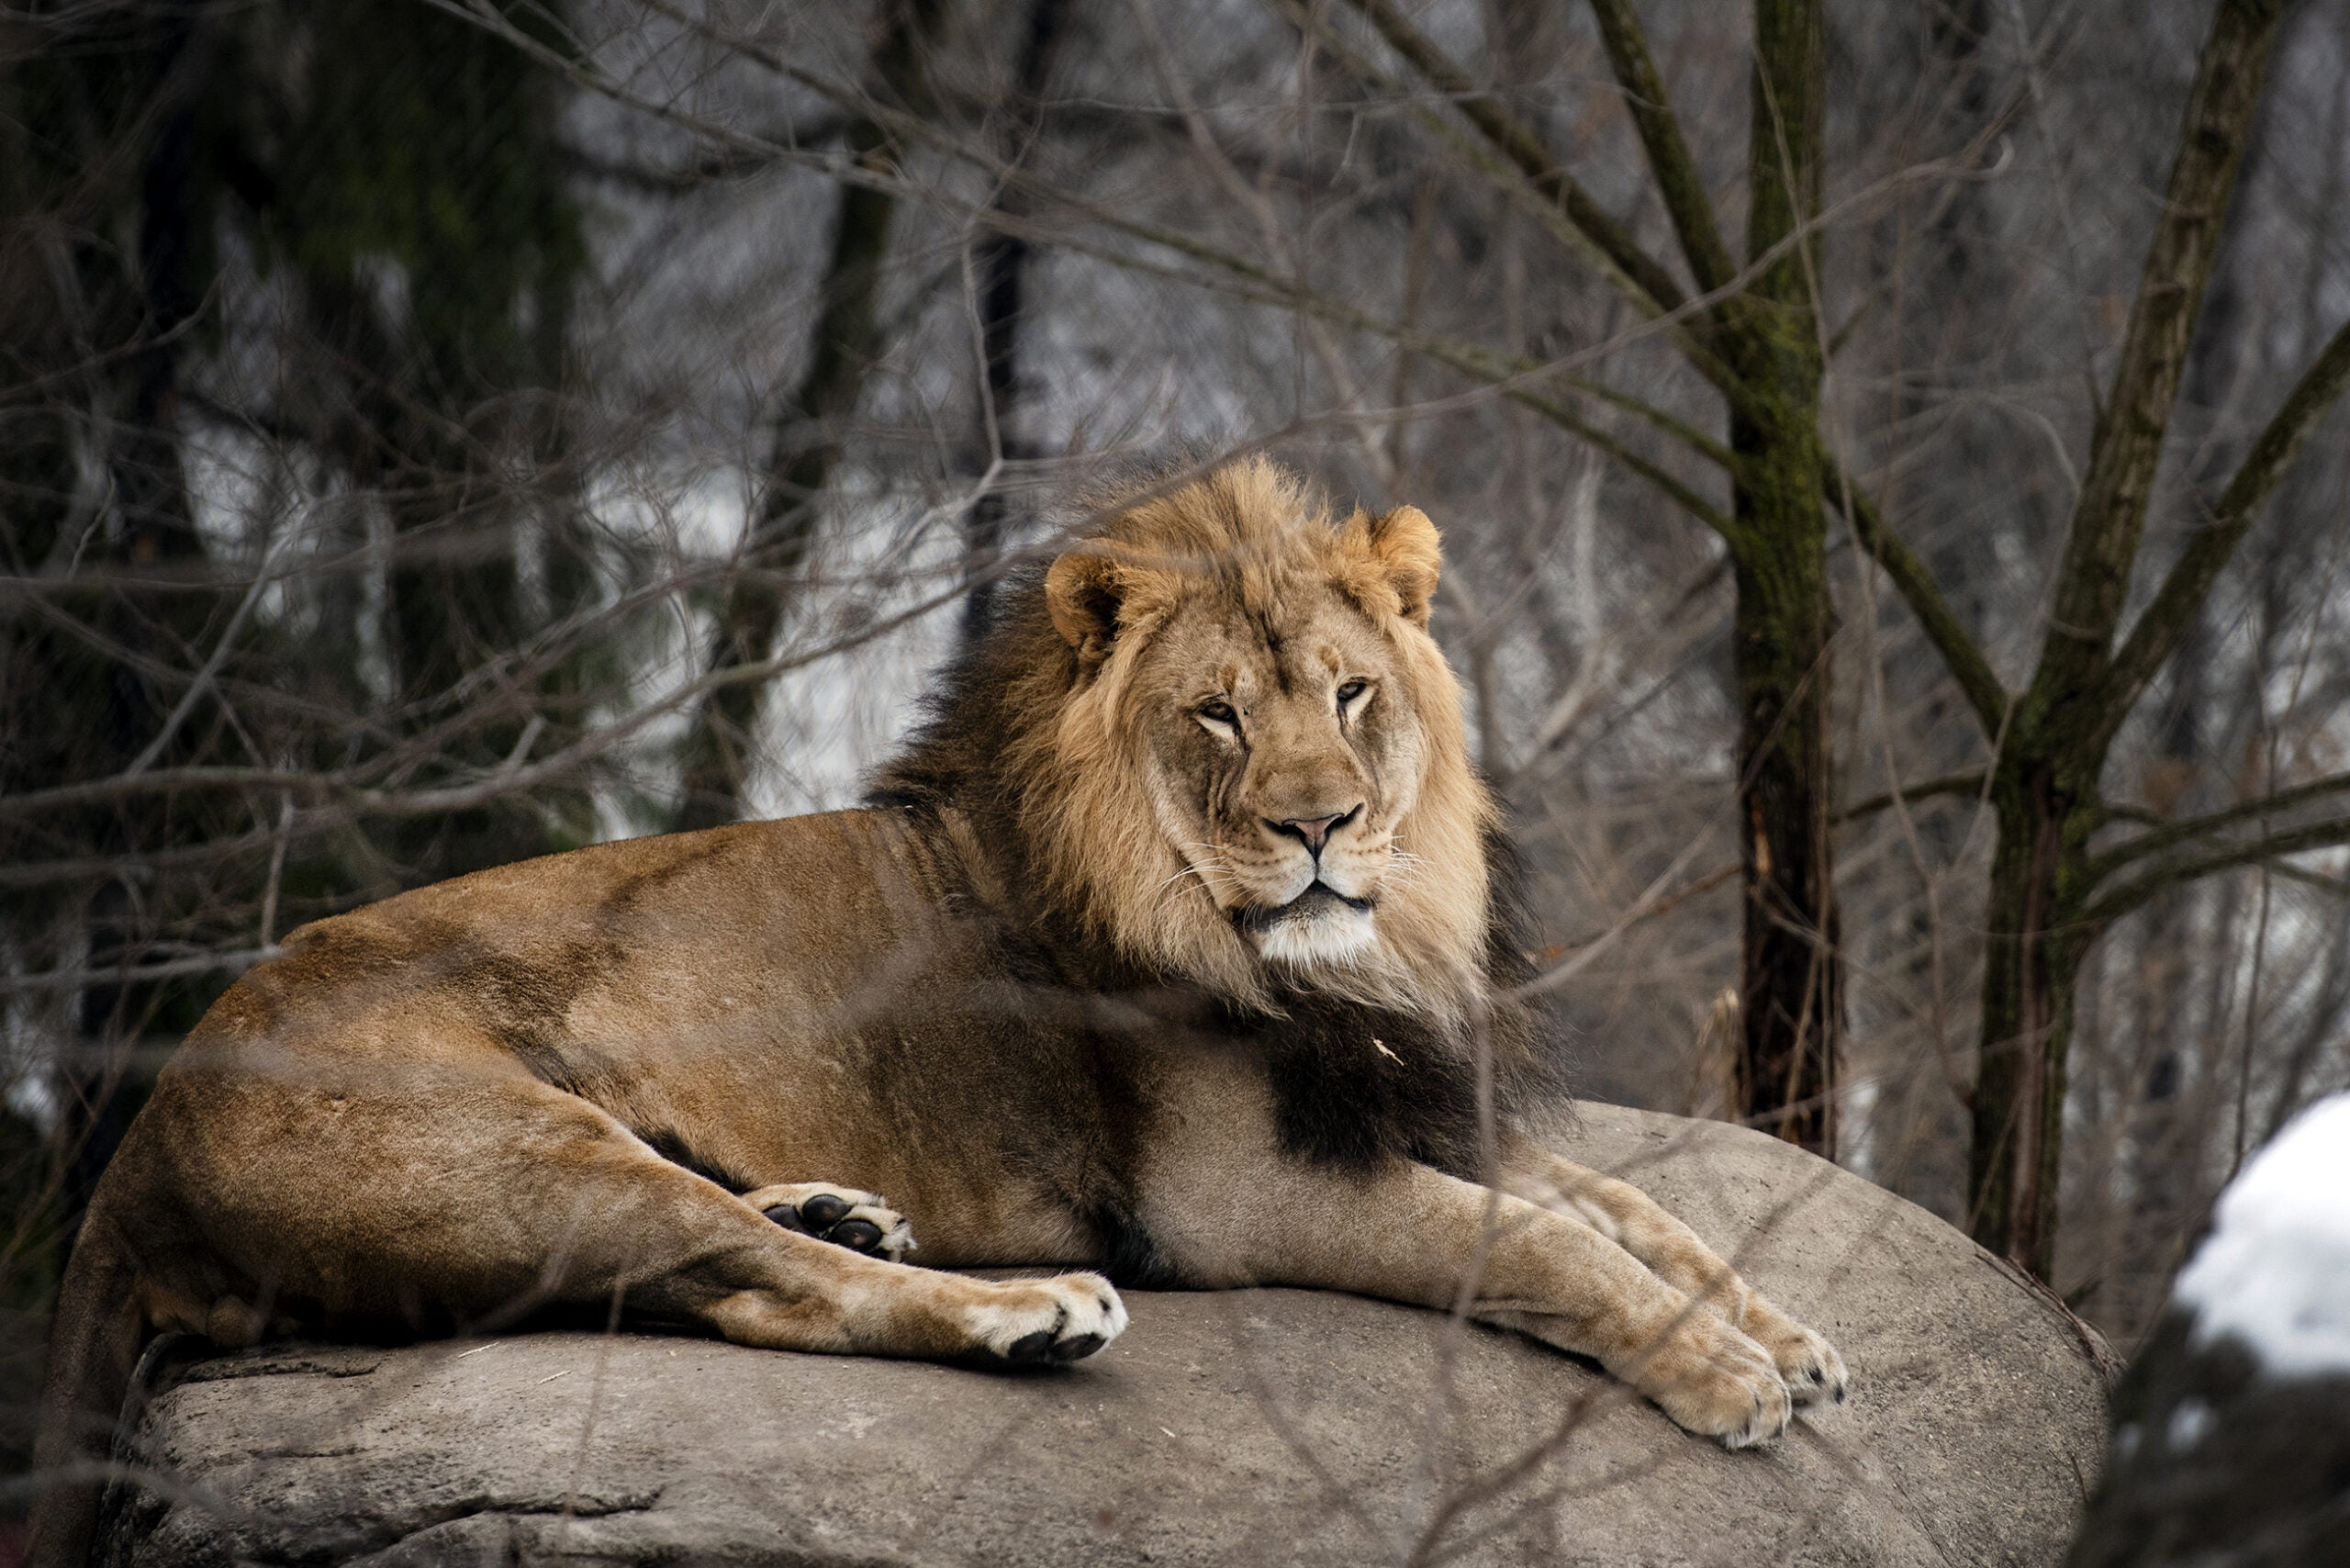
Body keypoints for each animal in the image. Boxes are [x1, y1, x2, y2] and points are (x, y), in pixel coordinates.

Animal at [32, 457, 1844, 1565]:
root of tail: (133, 1144)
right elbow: (1540, 1241)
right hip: (513, 1152)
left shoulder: (1407, 1094)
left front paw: (1787, 1336)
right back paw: (1020, 1308)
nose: (1324, 826)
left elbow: (1628, 1206)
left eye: (1350, 694)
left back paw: (843, 1201)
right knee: (772, 1292)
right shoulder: (1238, 1192)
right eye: (1216, 714)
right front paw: (1723, 1377)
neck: (1335, 954)